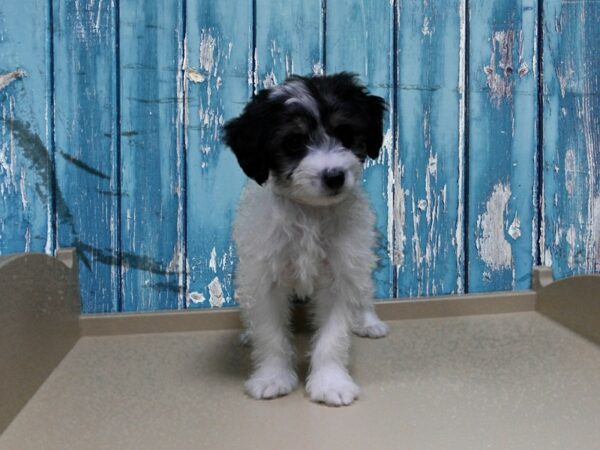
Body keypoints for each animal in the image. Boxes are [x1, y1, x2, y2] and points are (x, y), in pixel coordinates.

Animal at [223, 72, 386, 406]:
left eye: (345, 134)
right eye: (294, 142)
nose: (334, 176)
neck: (310, 213)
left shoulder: (341, 272)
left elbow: (333, 336)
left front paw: (331, 382)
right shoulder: (263, 276)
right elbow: (270, 334)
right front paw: (272, 378)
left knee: (363, 290)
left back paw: (367, 321)